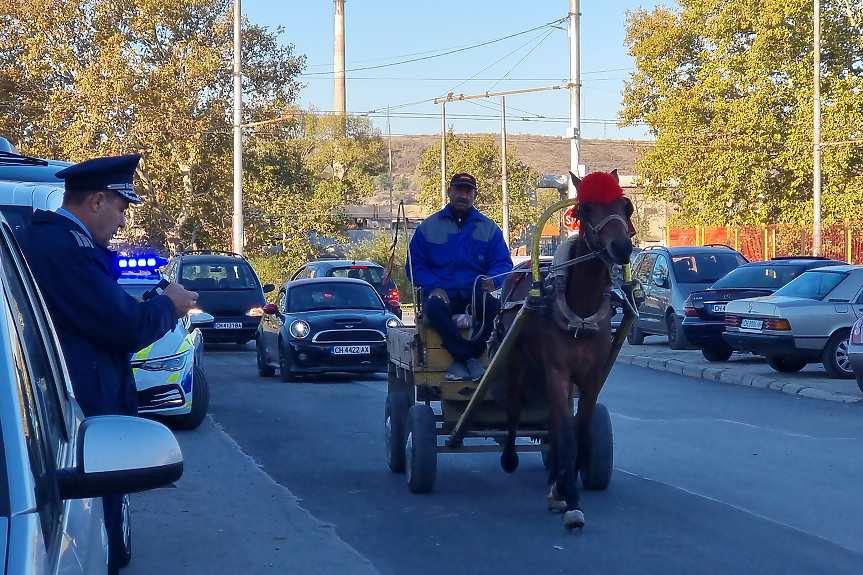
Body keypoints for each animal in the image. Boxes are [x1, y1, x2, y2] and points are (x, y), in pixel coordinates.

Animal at [492, 170, 636, 532]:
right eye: (586, 208)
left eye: (624, 205)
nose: (622, 247)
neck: (580, 307)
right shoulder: (558, 372)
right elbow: (569, 437)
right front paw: (571, 502)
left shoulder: (591, 376)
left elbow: (579, 430)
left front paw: (562, 487)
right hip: (517, 360)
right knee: (514, 408)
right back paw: (510, 457)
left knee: (556, 423)